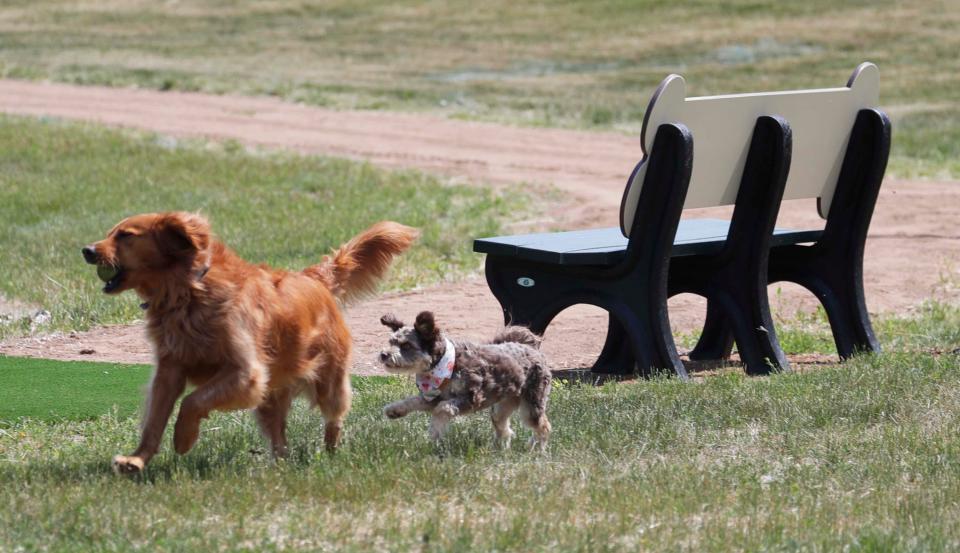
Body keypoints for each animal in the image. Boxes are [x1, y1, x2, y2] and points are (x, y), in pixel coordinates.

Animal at [376, 310, 552, 448]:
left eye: (406, 345)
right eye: (391, 342)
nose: (384, 354)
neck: (447, 365)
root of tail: (529, 347)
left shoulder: (472, 397)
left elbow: (442, 409)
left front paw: (435, 432)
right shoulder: (432, 397)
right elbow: (413, 401)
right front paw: (394, 410)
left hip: (532, 403)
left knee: (543, 427)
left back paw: (537, 449)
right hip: (502, 405)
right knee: (503, 427)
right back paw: (501, 447)